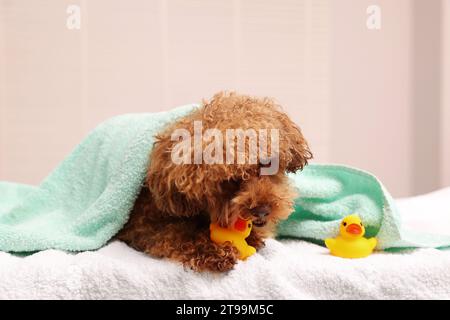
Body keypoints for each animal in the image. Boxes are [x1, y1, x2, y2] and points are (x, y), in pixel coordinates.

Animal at [118, 91, 312, 272]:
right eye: (230, 179)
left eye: (267, 163)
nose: (262, 211)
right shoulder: (144, 227)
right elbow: (177, 236)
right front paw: (215, 251)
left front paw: (253, 238)